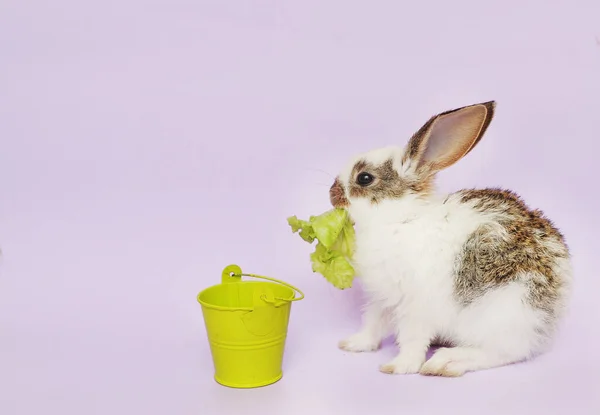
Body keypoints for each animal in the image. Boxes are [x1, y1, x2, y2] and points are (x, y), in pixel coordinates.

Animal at [332, 100, 572, 376]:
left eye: (364, 178)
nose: (332, 194)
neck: (401, 218)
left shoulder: (416, 305)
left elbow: (412, 339)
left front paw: (398, 367)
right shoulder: (383, 298)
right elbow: (373, 324)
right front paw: (353, 344)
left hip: (505, 311)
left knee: (505, 352)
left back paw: (446, 362)